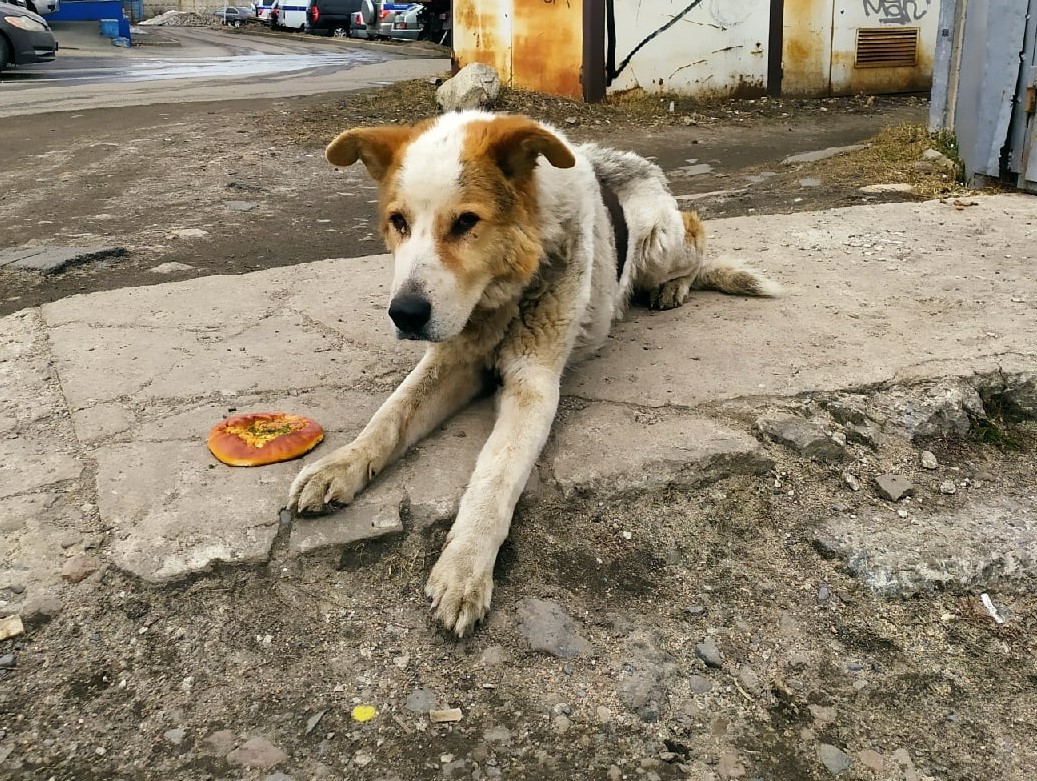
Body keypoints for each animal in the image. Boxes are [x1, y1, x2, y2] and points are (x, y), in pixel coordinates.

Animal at [286, 109, 779, 634]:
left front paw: (464, 566)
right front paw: (341, 464)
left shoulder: (534, 385)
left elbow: (495, 477)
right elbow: (390, 415)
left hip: (663, 244)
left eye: (466, 222)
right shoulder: (452, 357)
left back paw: (674, 287)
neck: (501, 297)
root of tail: (635, 162)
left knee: (696, 236)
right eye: (398, 222)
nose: (405, 315)